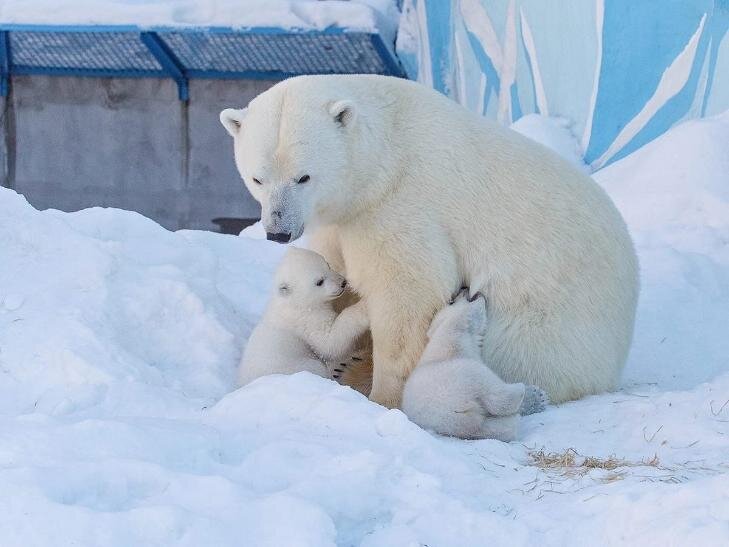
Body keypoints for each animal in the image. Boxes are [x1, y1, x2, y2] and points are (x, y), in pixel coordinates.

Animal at [237, 247, 366, 386]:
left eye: (327, 265)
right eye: (319, 281)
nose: (342, 282)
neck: (293, 302)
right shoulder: (305, 320)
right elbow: (329, 343)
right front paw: (364, 307)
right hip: (298, 367)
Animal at [400, 292, 548, 440]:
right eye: (451, 301)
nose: (464, 289)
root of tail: (460, 415)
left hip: (475, 425)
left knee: (497, 428)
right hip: (464, 376)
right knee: (496, 395)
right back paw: (531, 394)